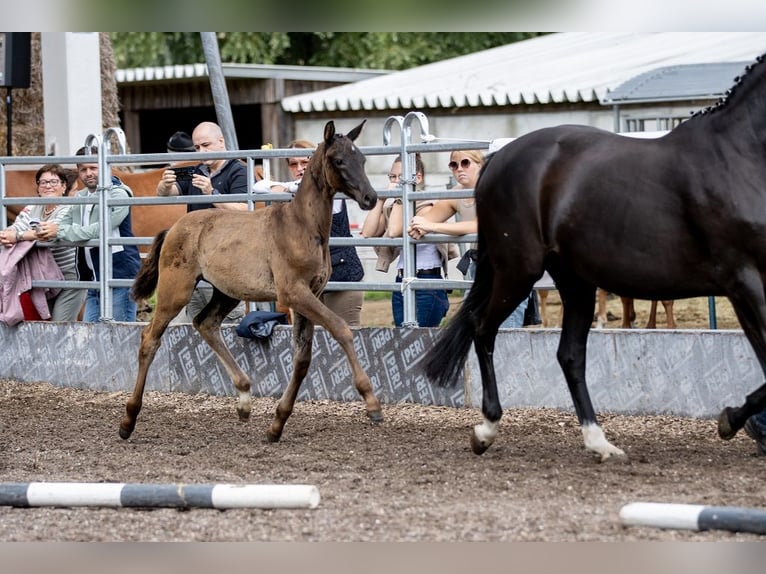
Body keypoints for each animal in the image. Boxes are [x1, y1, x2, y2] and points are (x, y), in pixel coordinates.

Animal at [121, 120, 384, 446]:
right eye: (338, 160)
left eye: (362, 159)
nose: (370, 198)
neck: (301, 226)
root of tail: (173, 228)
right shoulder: (294, 293)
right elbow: (342, 329)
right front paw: (372, 403)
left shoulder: (311, 295)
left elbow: (302, 359)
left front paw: (276, 424)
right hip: (175, 292)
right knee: (149, 339)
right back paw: (128, 420)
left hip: (226, 293)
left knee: (205, 324)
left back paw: (245, 399)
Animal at [424, 55, 766, 464]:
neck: (739, 155)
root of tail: (496, 159)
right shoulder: (745, 280)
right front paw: (732, 421)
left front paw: (745, 424)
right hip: (519, 271)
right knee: (482, 328)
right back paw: (486, 430)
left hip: (576, 281)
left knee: (570, 355)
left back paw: (599, 441)